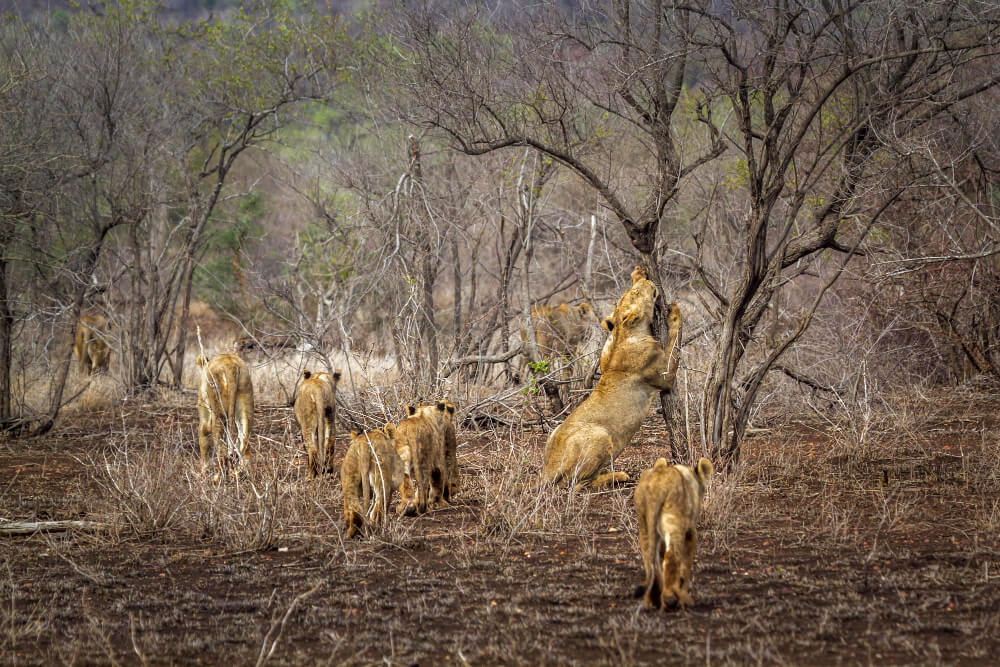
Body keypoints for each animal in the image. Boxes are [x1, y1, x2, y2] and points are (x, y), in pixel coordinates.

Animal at [540, 266, 682, 489]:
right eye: (636, 292)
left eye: (631, 289)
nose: (646, 279)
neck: (623, 335)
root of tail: (549, 470)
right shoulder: (664, 376)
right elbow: (674, 343)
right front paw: (675, 312)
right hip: (601, 436)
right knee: (579, 483)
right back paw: (619, 476)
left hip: (554, 433)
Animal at [633, 457, 714, 609]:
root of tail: (656, 486)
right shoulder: (690, 532)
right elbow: (686, 565)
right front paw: (683, 595)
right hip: (674, 523)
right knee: (671, 556)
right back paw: (671, 597)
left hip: (645, 524)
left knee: (650, 561)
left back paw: (653, 600)